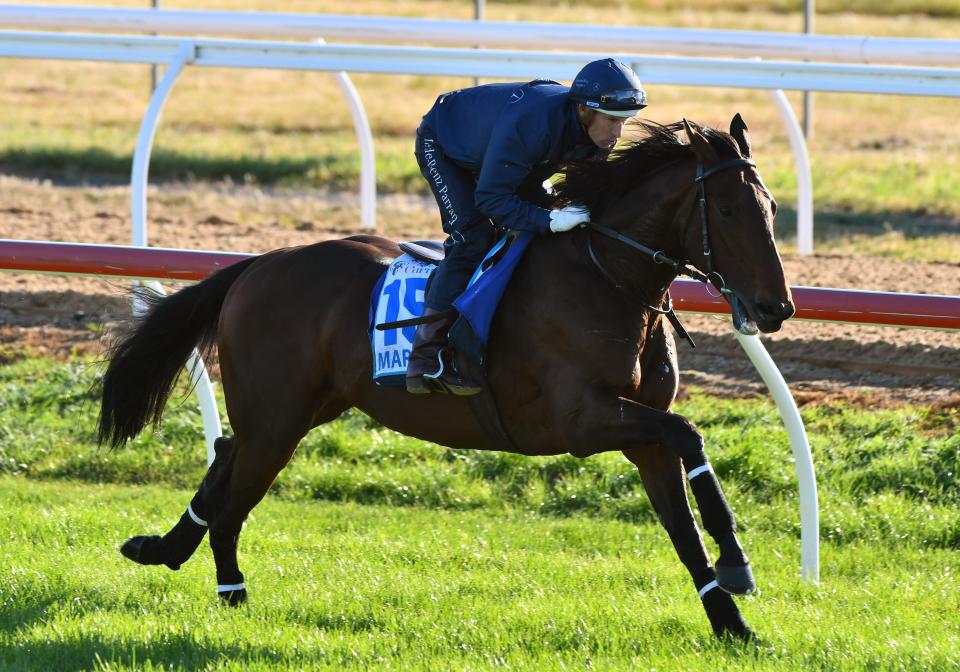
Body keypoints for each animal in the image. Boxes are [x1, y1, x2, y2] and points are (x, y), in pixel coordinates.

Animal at [97, 115, 792, 640]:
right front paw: (738, 567)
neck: (606, 275)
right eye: (728, 209)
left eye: (771, 208)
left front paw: (732, 618)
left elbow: (683, 522)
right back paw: (228, 586)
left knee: (224, 456)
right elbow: (690, 435)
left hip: (303, 408)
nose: (776, 307)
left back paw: (167, 553)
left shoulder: (640, 432)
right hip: (277, 419)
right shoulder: (583, 421)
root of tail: (257, 265)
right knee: (235, 486)